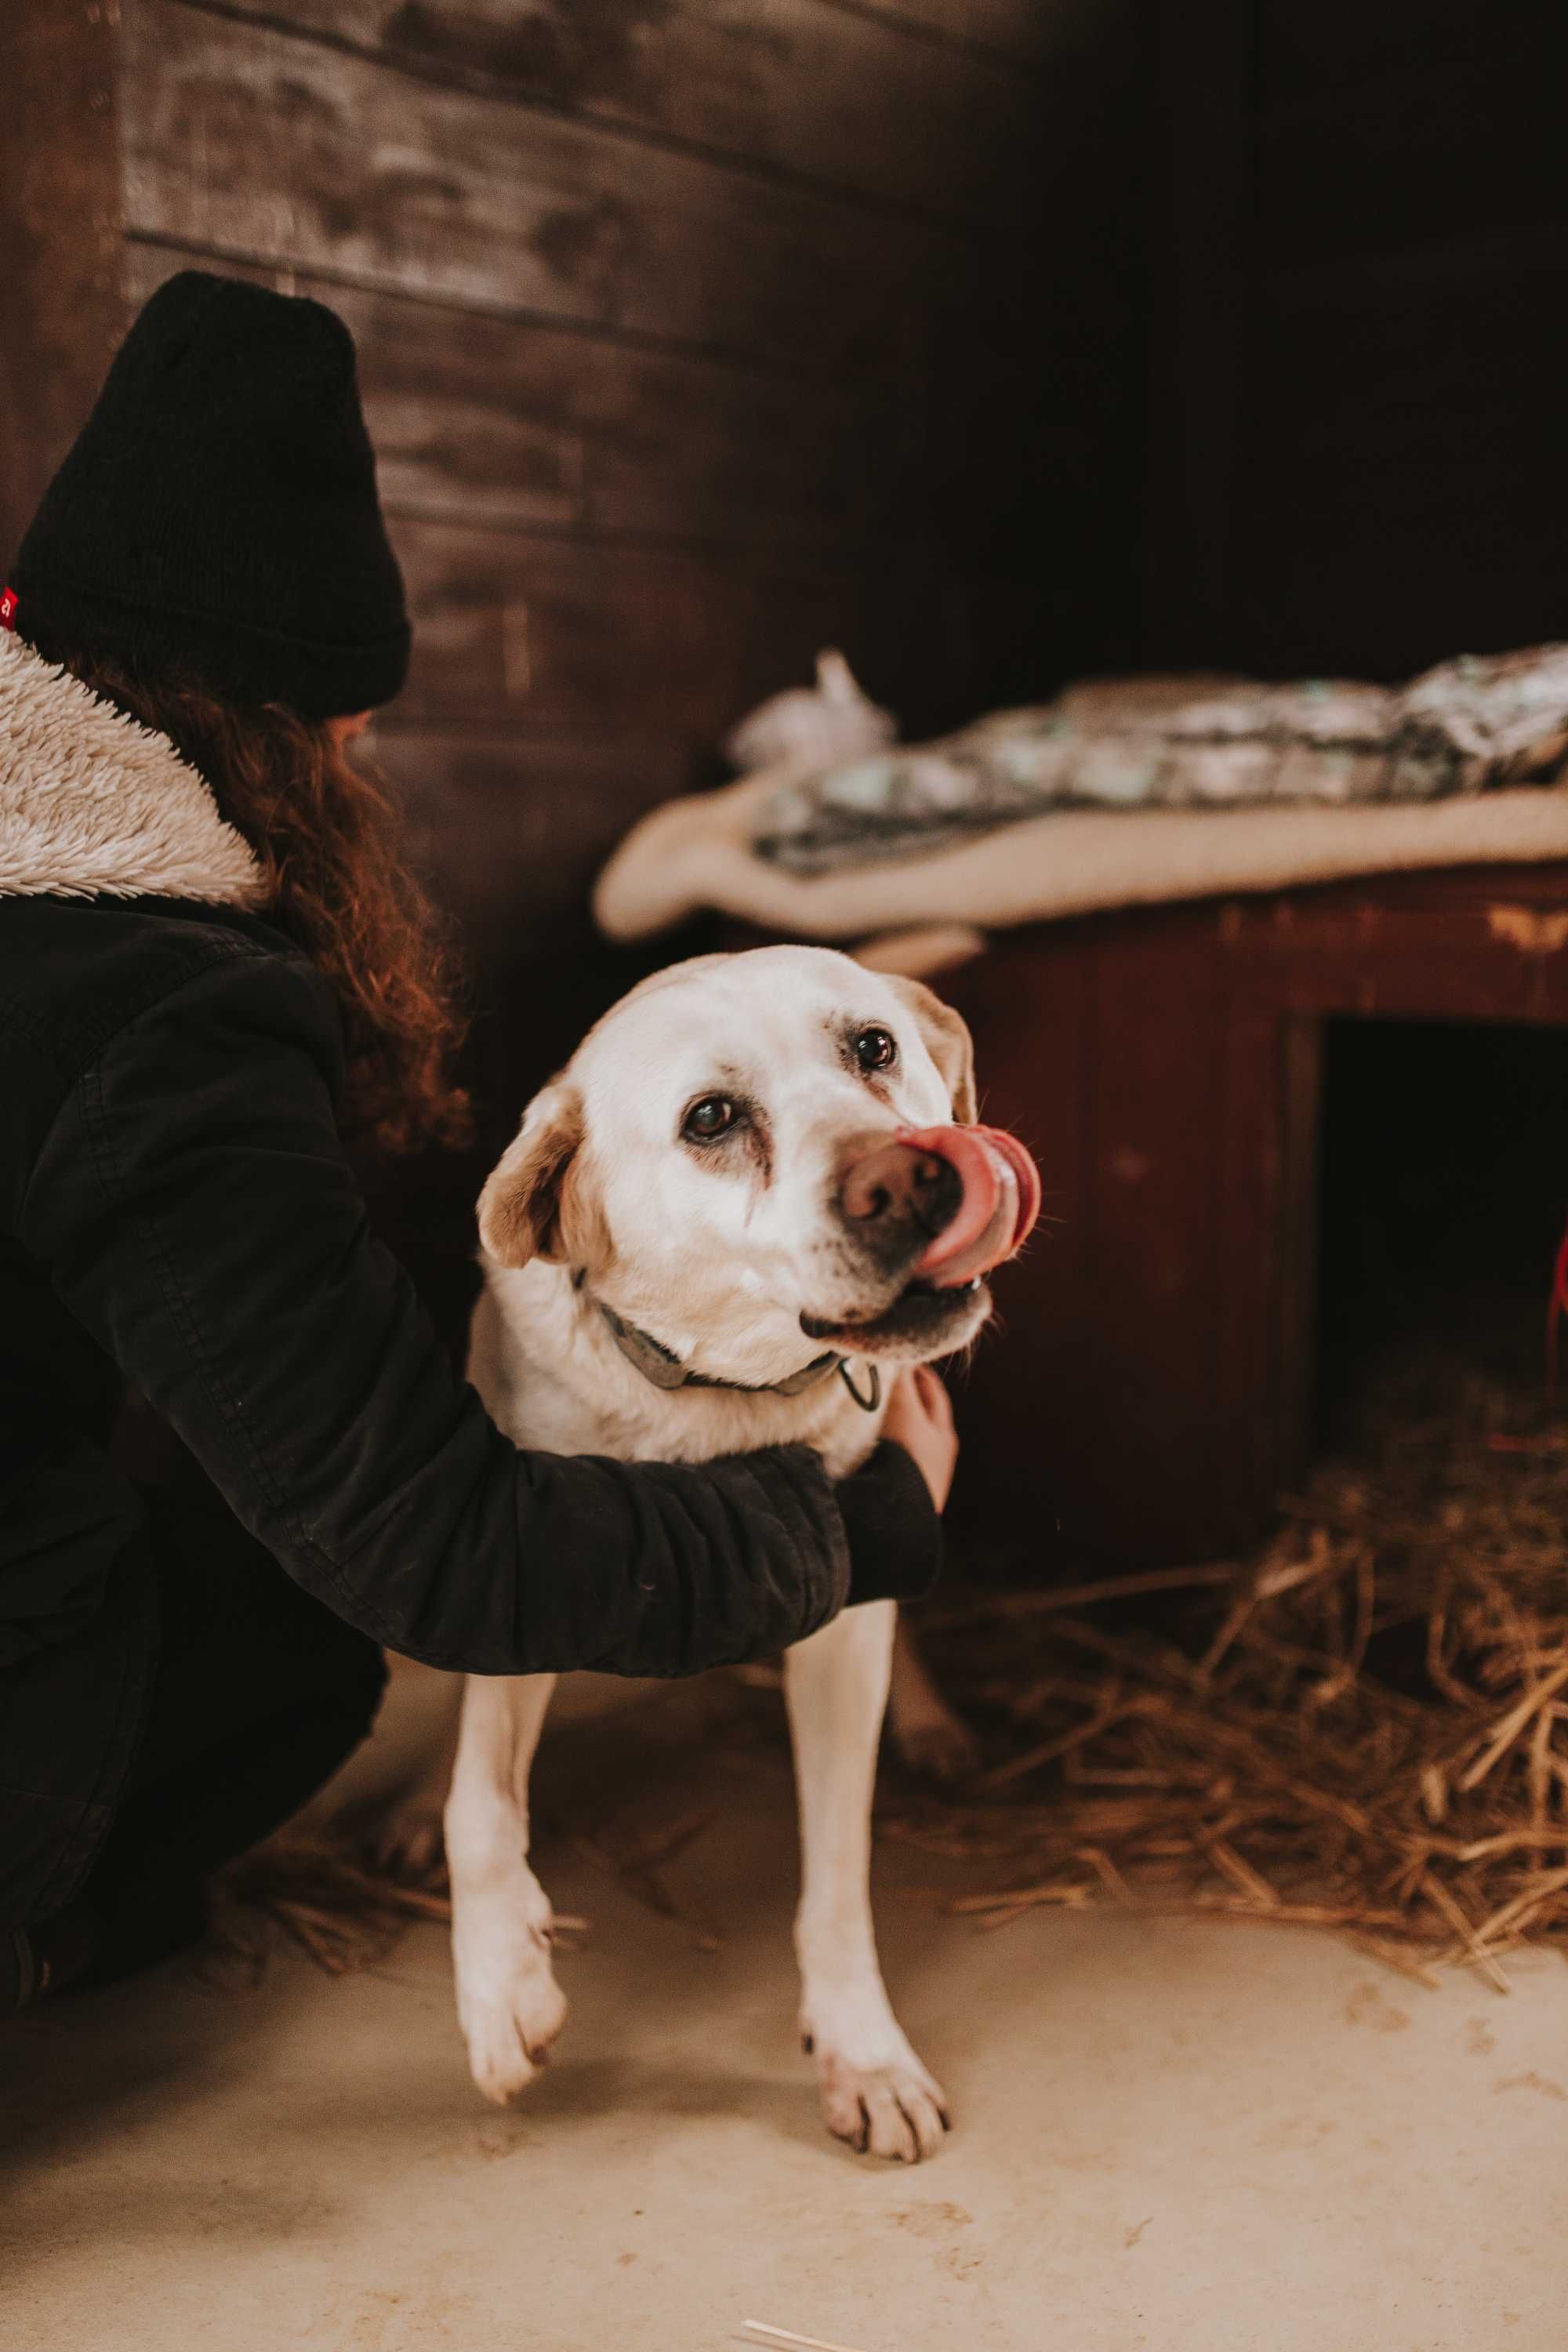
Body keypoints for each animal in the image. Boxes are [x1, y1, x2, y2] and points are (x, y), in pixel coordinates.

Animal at [446, 946, 1034, 2154]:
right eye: (710, 1119)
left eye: (873, 1047)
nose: (907, 1180)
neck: (716, 1405)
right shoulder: (517, 1570)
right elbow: (476, 1798)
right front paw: (500, 1987)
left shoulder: (846, 1614)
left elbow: (839, 1874)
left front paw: (863, 2050)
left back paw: (933, 1724)